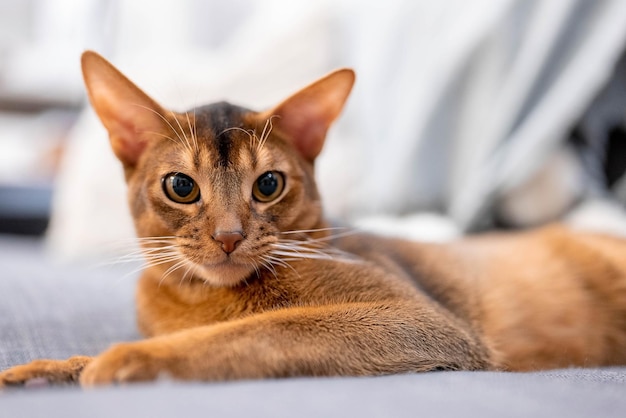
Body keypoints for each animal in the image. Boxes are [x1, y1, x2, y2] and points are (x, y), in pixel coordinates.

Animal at [1, 51, 624, 386]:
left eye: (268, 185)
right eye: (180, 187)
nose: (228, 237)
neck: (201, 301)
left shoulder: (424, 322)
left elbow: (266, 329)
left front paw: (129, 358)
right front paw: (47, 369)